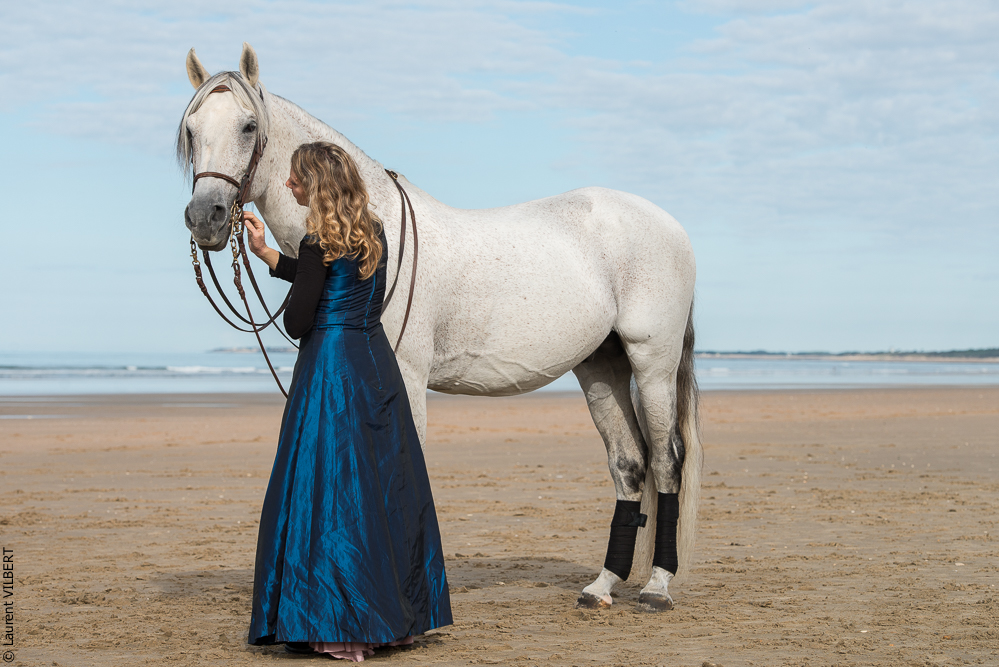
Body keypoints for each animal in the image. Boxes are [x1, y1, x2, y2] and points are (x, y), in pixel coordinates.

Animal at [178, 43, 702, 612]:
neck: (368, 228)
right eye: (191, 129)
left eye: (249, 125)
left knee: (667, 461)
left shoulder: (406, 376)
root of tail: (669, 225)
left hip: (652, 365)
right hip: (600, 367)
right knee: (629, 464)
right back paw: (602, 586)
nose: (205, 217)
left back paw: (657, 586)